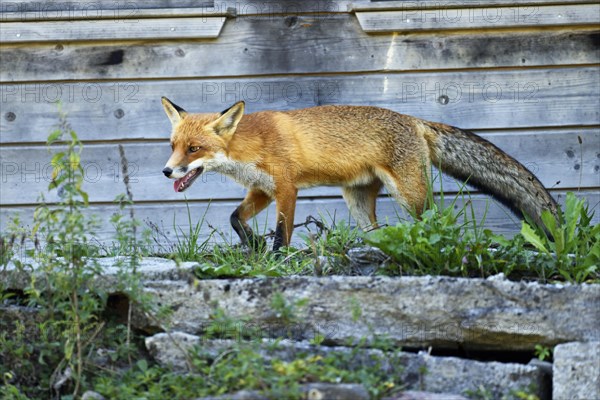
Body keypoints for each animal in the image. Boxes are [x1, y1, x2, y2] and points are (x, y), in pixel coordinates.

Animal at [161, 97, 556, 250]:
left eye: (193, 149)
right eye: (173, 145)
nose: (166, 171)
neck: (248, 146)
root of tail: (415, 120)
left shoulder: (286, 188)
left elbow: (282, 235)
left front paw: (273, 256)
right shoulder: (262, 189)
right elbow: (234, 217)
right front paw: (252, 242)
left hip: (409, 194)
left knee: (434, 222)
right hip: (359, 203)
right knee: (377, 232)